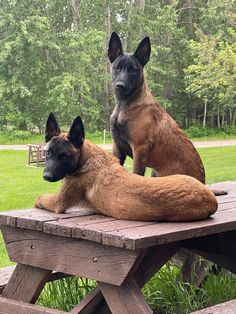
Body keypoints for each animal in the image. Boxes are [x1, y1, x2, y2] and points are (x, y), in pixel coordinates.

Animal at [34, 112, 218, 221]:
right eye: (48, 153)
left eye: (65, 156)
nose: (46, 176)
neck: (86, 159)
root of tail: (211, 199)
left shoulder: (59, 202)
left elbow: (40, 198)